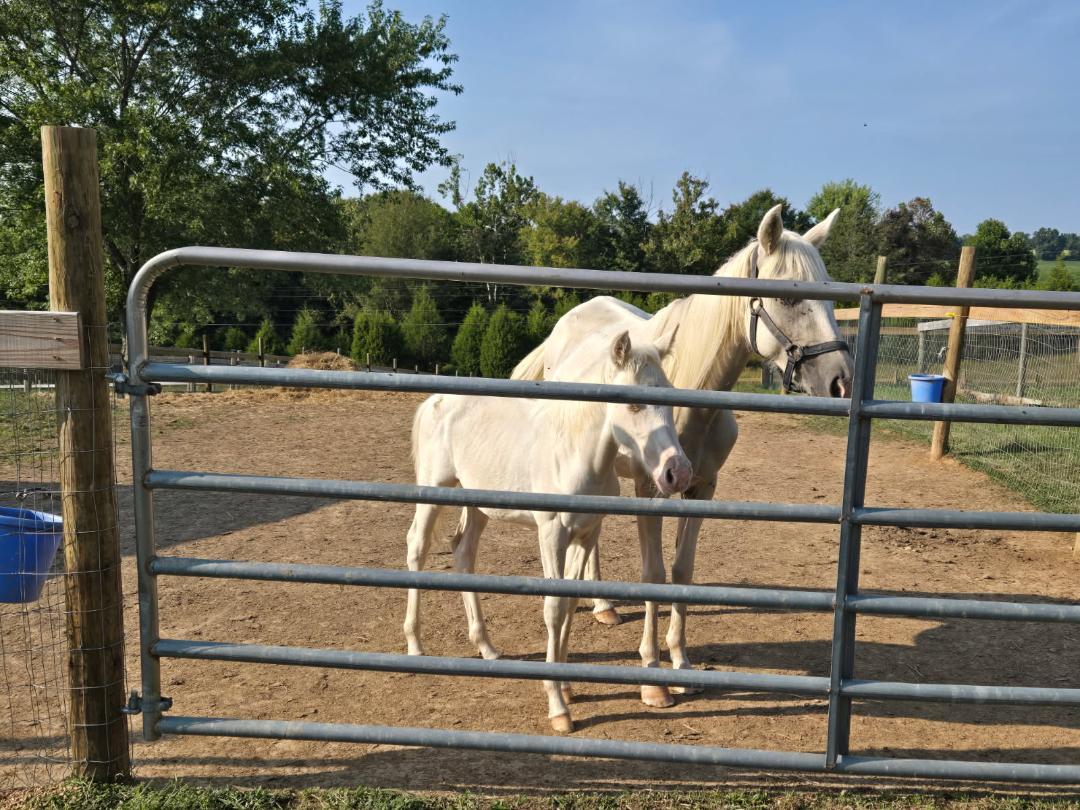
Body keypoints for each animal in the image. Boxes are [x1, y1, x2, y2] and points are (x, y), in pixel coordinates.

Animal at [405, 329, 692, 732]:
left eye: (669, 395)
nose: (677, 473)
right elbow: (554, 608)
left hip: (476, 501)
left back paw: (486, 647)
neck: (574, 452)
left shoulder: (586, 533)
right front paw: (558, 707)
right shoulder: (551, 533)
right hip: (434, 490)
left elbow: (571, 602)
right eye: (634, 403)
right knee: (417, 547)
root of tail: (435, 399)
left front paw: (568, 687)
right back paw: (415, 645)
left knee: (463, 551)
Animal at [511, 203, 854, 710]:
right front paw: (653, 680)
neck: (689, 390)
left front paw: (682, 664)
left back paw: (603, 605)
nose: (840, 382)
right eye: (787, 299)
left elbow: (681, 570)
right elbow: (653, 573)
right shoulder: (650, 491)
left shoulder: (701, 489)